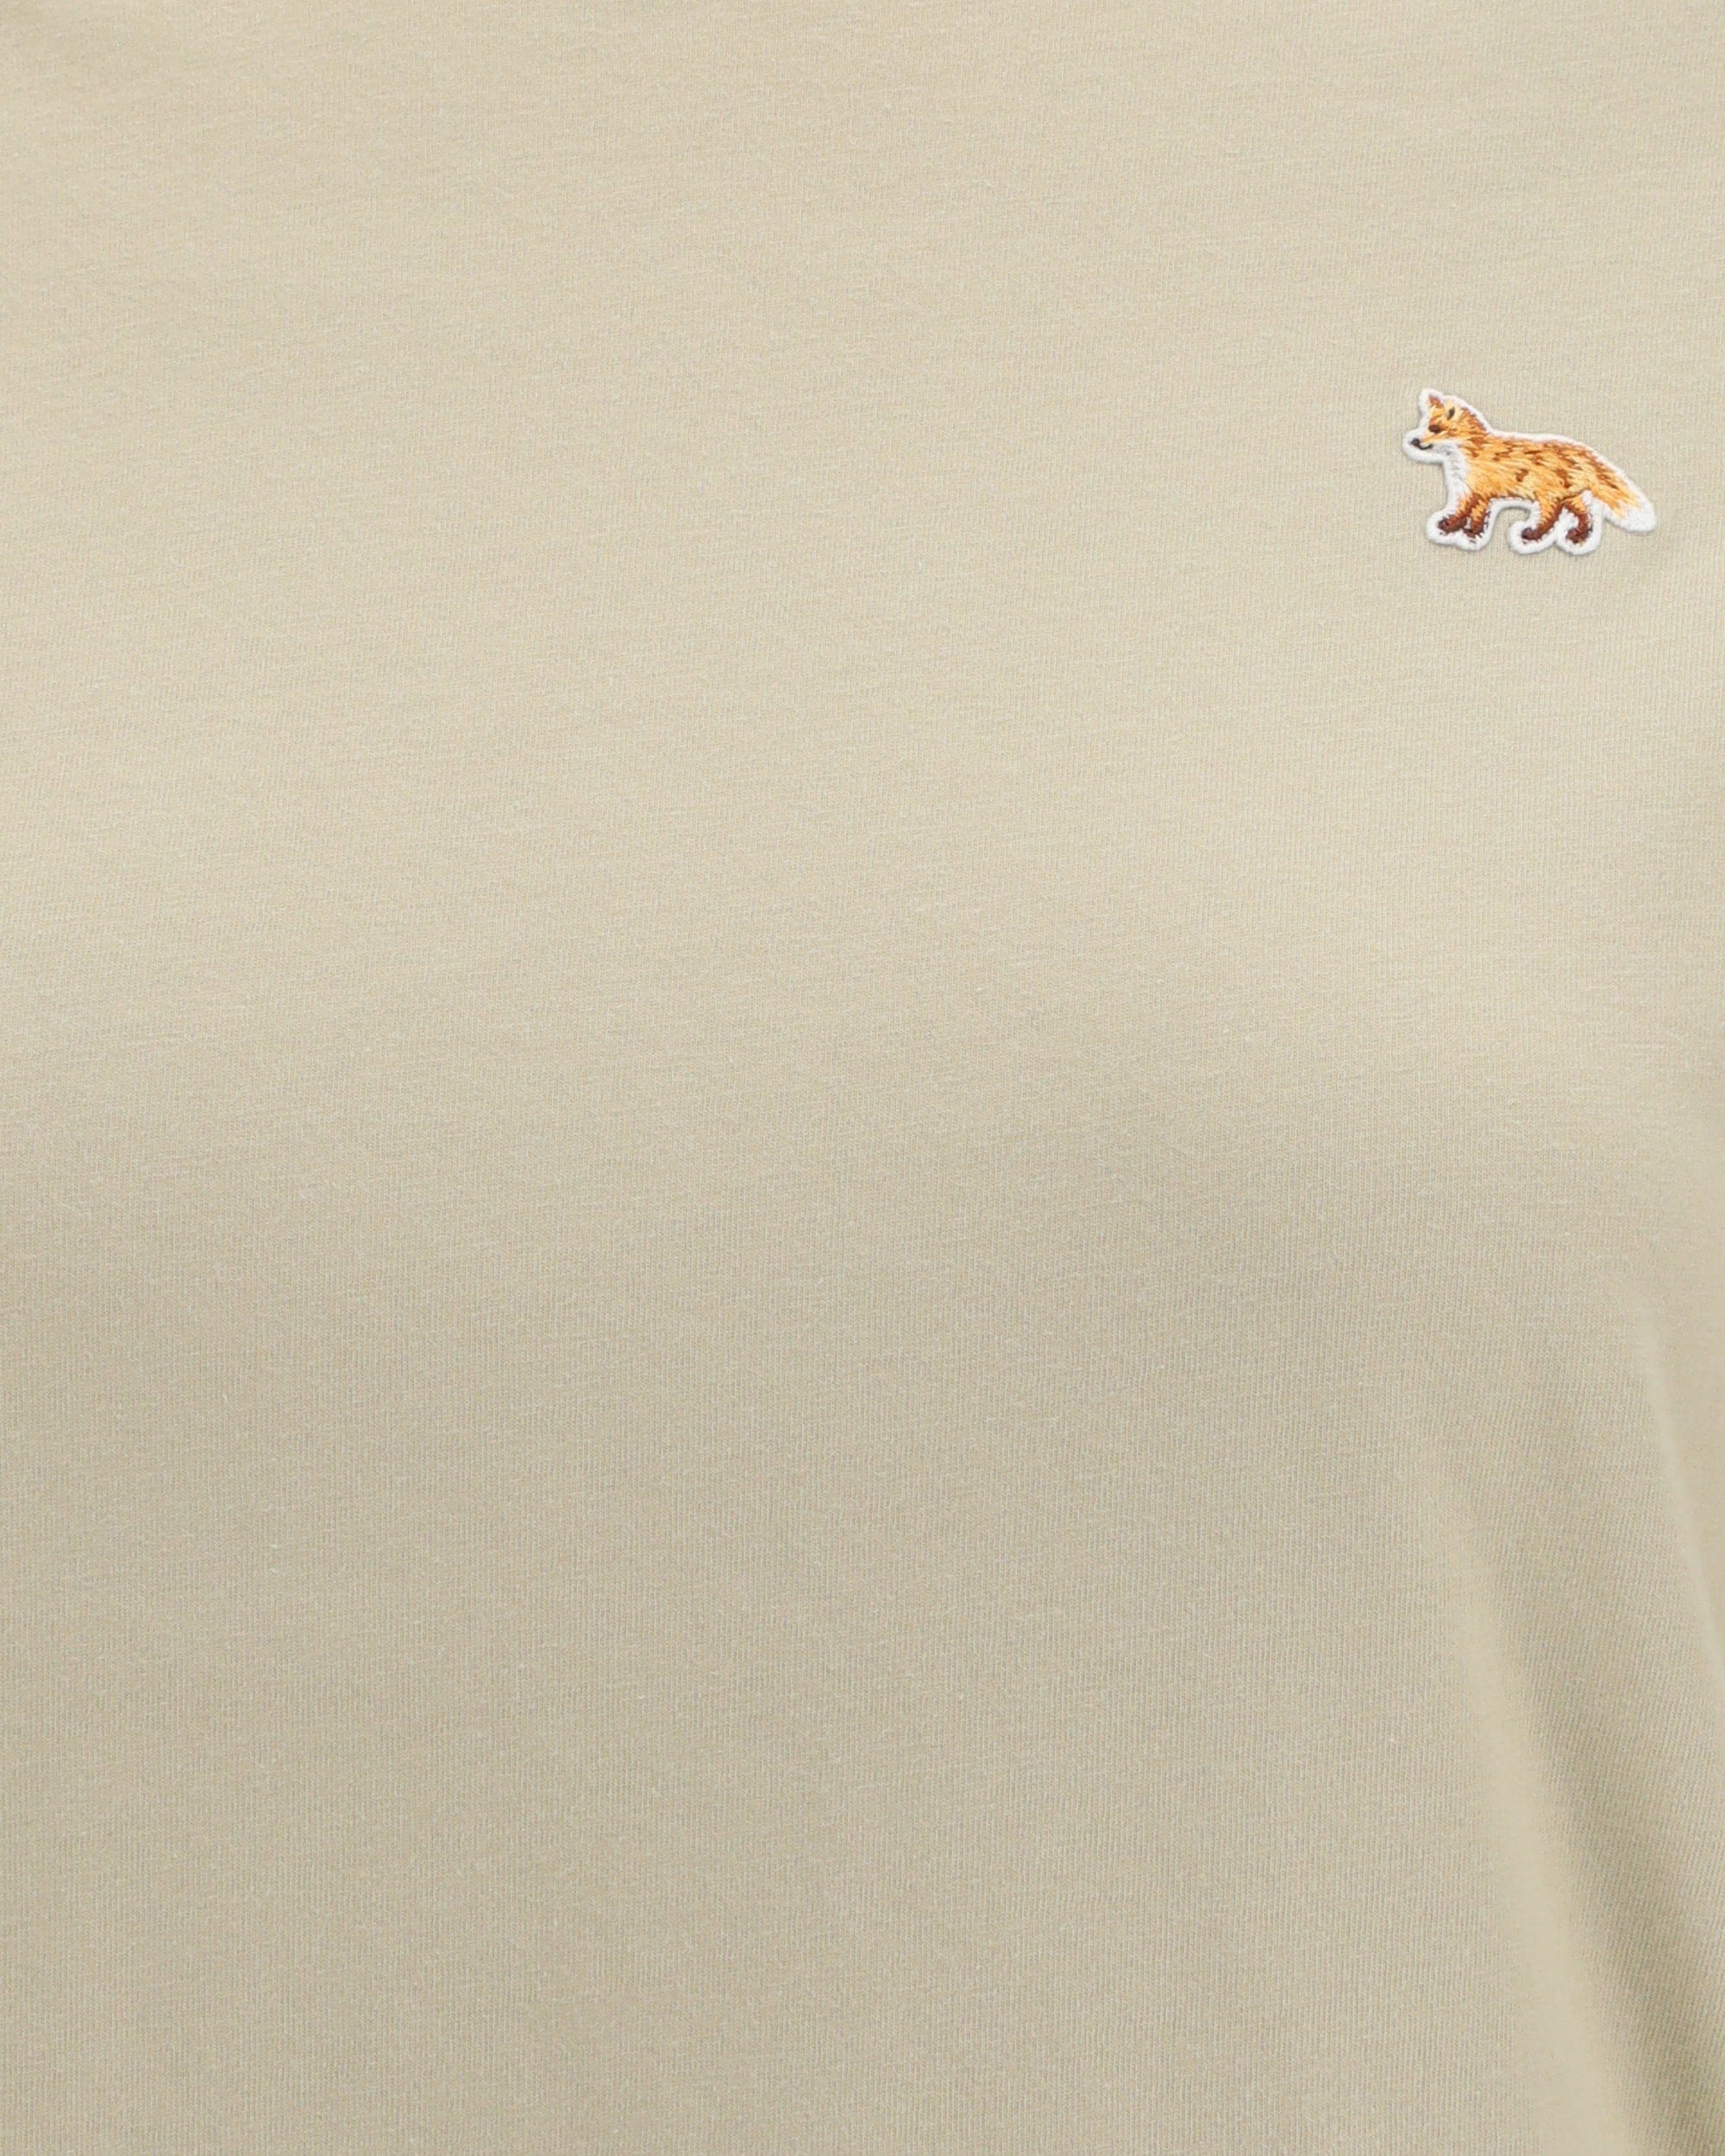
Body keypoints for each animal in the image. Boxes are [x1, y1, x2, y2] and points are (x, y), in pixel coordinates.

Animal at [1404, 390, 1655, 554]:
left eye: (1434, 428)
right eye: (1424, 425)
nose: (1413, 441)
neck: (1462, 460)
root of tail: (1581, 451)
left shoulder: (1474, 489)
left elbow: (1463, 512)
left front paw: (1450, 527)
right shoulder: (1479, 492)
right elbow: (1477, 516)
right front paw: (1471, 533)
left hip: (1547, 496)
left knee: (1550, 517)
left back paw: (1532, 534)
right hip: (1569, 496)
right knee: (1586, 513)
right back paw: (1579, 535)